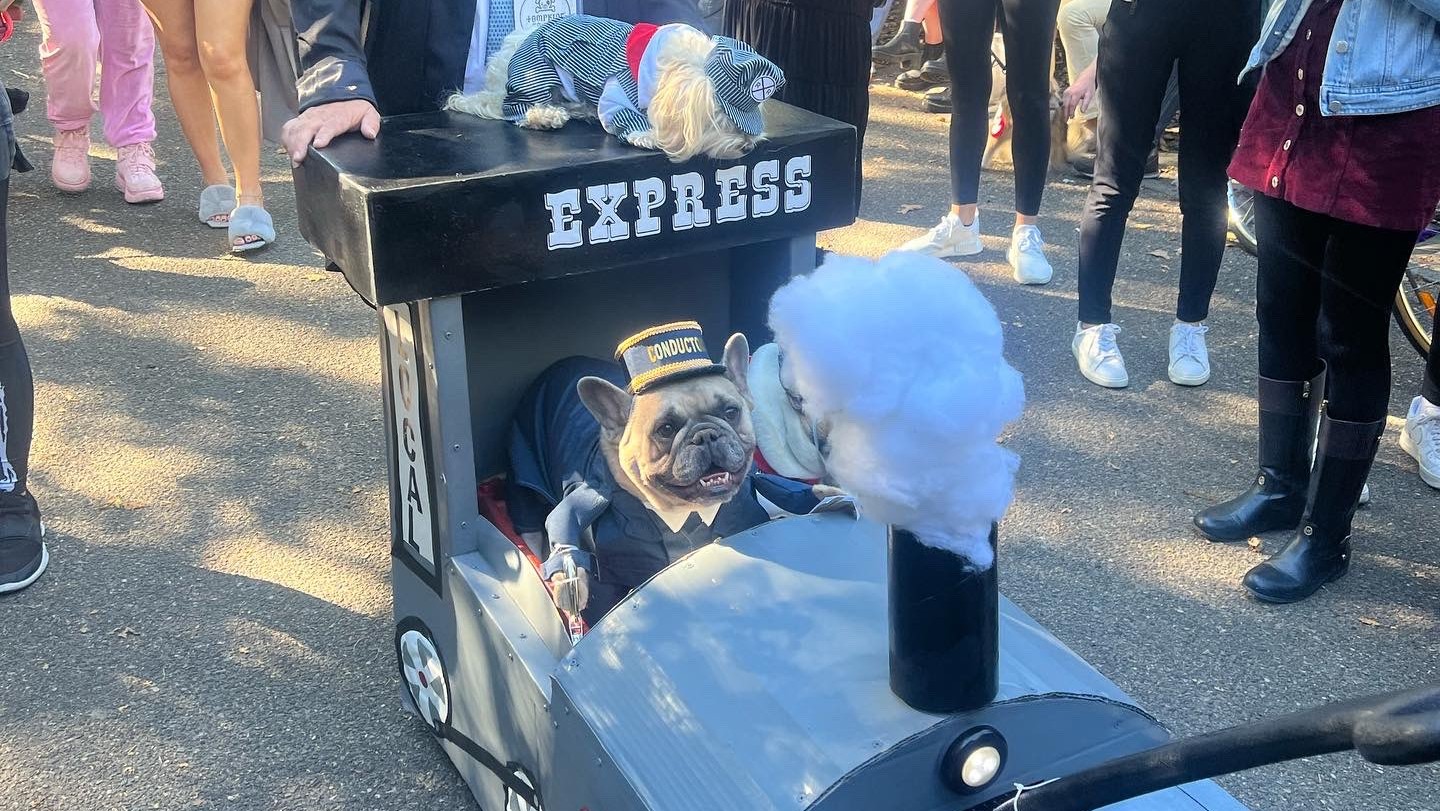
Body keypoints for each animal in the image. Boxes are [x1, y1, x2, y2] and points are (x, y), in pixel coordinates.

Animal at [449, 13, 789, 162]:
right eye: (718, 118)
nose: (747, 146)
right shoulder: (616, 90)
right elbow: (621, 114)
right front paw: (647, 135)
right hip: (534, 70)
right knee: (516, 107)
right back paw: (544, 116)